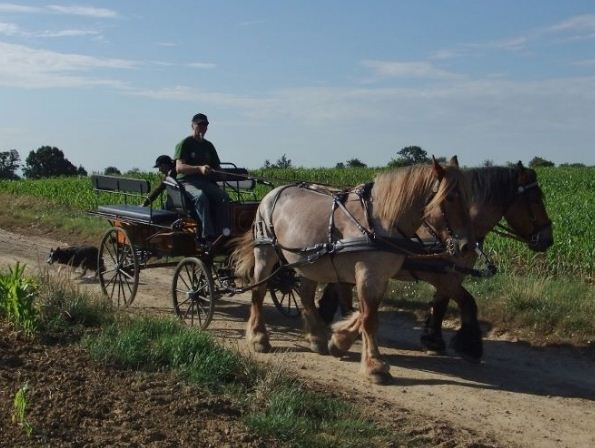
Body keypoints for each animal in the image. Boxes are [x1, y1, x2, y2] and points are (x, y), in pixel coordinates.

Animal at [233, 156, 474, 384]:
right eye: (450, 198)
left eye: (467, 197)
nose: (467, 247)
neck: (379, 222)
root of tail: (272, 193)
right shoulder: (367, 274)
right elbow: (368, 318)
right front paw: (375, 367)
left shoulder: (379, 277)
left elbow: (364, 313)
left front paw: (339, 341)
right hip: (265, 254)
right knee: (259, 292)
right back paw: (259, 338)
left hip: (307, 262)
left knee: (306, 296)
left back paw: (316, 338)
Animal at [318, 161, 556, 360]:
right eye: (535, 199)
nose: (548, 239)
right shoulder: (442, 275)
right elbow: (468, 302)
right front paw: (469, 346)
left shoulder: (450, 274)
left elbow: (441, 305)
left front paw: (433, 339)